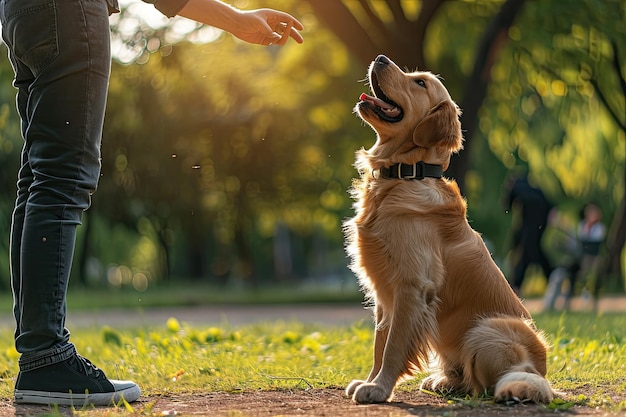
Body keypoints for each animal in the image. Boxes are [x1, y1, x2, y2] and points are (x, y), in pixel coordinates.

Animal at [344, 54, 552, 404]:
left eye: (420, 83)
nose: (381, 58)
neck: (404, 175)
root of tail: (538, 370)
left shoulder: (412, 286)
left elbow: (393, 346)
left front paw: (380, 387)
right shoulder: (383, 291)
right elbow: (378, 343)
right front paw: (369, 380)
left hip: (488, 328)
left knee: (491, 383)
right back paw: (444, 381)